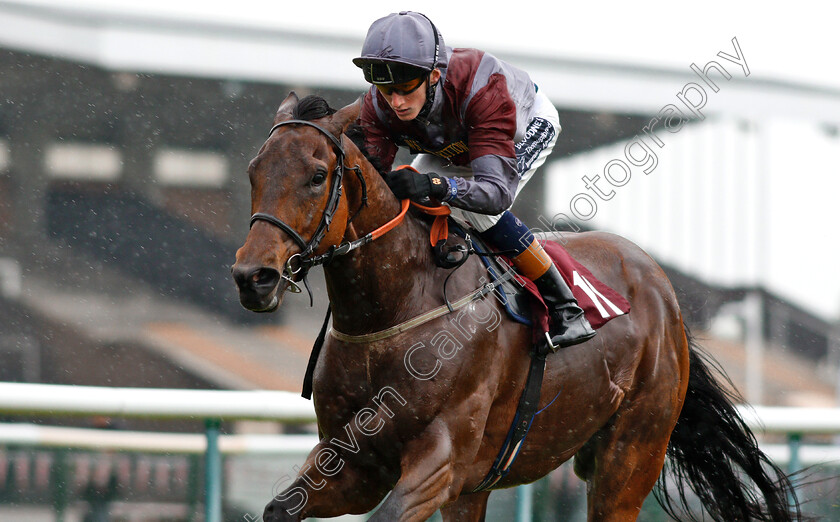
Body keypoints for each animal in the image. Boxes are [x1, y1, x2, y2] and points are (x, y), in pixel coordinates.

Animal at [230, 91, 800, 516]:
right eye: (254, 171)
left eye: (316, 175)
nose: (253, 277)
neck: (397, 308)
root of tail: (662, 290)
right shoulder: (354, 461)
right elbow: (281, 507)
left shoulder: (440, 460)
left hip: (631, 455)